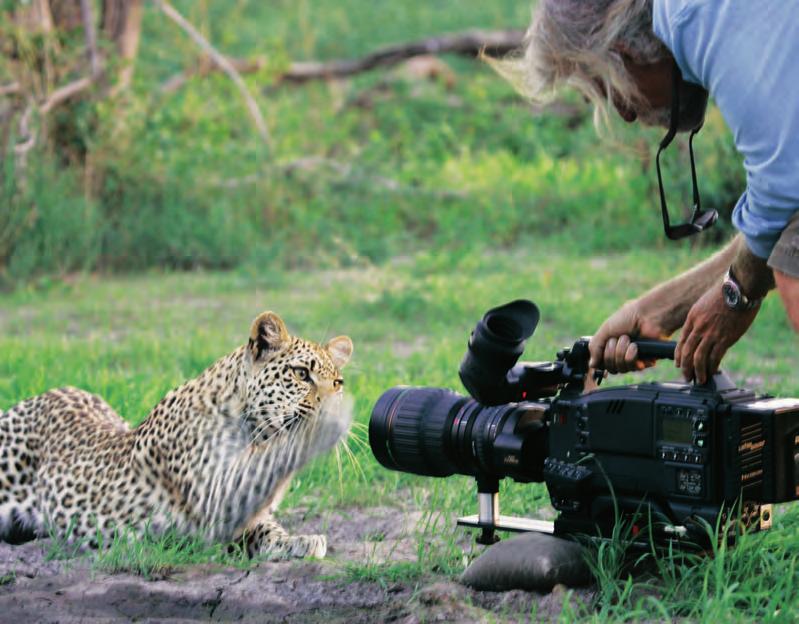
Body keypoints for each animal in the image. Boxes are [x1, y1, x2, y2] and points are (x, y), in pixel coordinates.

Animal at [0, 312, 354, 560]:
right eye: (301, 374)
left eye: (337, 382)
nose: (334, 404)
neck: (254, 431)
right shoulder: (215, 498)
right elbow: (270, 464)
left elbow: (265, 525)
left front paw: (298, 541)